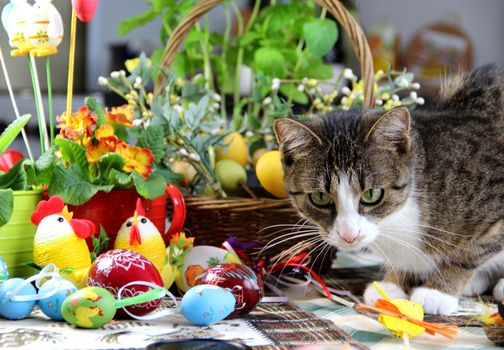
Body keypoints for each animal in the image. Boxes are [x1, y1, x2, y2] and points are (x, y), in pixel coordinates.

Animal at [274, 65, 504, 314]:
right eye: (319, 197)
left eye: (372, 194)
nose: (349, 235)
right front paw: (392, 283)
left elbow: (470, 252)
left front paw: (438, 290)